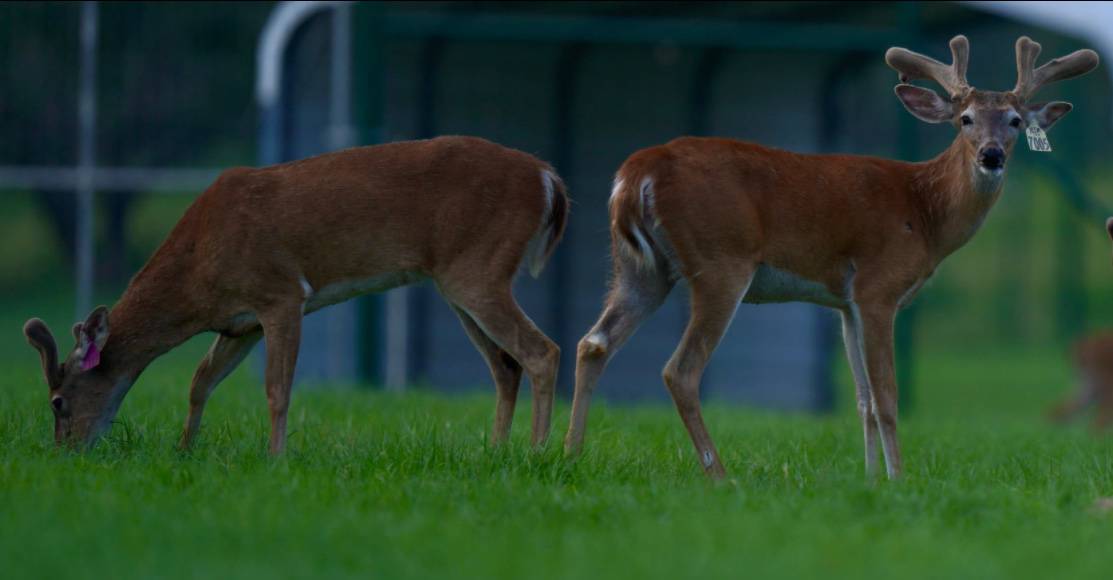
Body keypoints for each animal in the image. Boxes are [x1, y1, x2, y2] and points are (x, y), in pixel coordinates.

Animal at [23, 136, 568, 454]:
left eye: (57, 401)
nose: (65, 451)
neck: (198, 263)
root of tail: (548, 178)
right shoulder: (238, 323)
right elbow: (200, 381)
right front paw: (183, 451)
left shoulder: (281, 293)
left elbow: (276, 389)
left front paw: (275, 458)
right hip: (456, 280)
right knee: (505, 364)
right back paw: (495, 450)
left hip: (477, 269)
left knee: (542, 351)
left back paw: (539, 452)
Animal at [563, 36, 1099, 480]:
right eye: (964, 119)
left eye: (1014, 121)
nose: (991, 155)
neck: (924, 212)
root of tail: (637, 172)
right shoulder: (878, 287)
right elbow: (886, 395)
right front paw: (899, 480)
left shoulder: (844, 303)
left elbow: (862, 400)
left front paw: (870, 479)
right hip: (720, 261)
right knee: (681, 369)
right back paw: (718, 475)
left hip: (641, 266)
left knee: (593, 343)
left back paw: (569, 452)